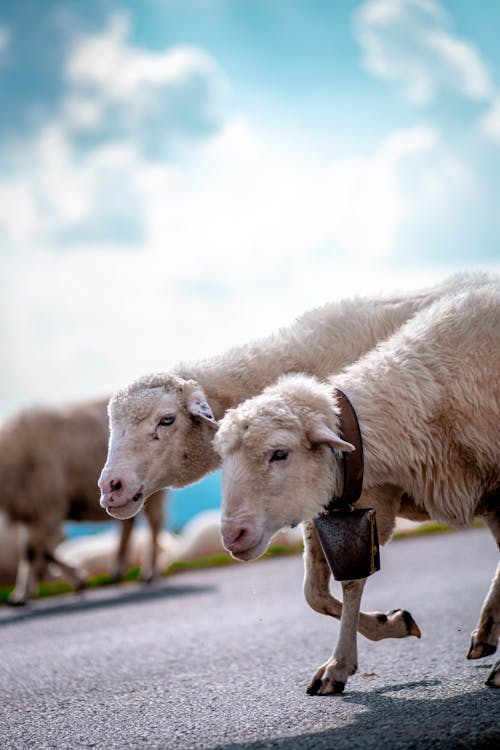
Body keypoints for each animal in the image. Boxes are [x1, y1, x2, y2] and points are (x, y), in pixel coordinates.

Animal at [0, 400, 168, 604]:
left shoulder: (48, 506)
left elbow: (34, 551)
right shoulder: (31, 510)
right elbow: (30, 552)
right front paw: (22, 594)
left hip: (152, 487)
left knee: (155, 524)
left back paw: (150, 573)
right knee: (128, 525)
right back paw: (117, 573)